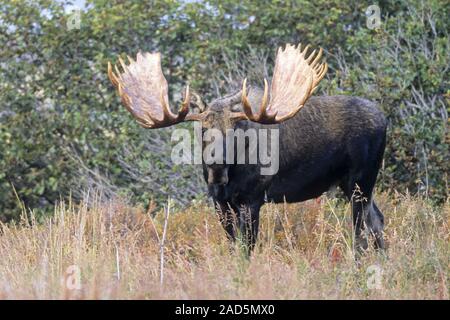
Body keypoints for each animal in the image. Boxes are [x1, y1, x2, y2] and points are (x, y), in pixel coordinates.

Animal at [108, 43, 386, 252]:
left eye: (233, 130)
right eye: (203, 129)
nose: (216, 163)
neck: (228, 179)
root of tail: (386, 119)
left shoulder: (253, 198)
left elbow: (247, 247)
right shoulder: (219, 201)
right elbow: (233, 245)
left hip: (361, 180)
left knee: (362, 229)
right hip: (353, 185)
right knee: (377, 221)